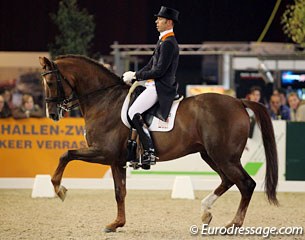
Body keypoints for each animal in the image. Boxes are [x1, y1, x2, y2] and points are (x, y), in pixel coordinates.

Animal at [38, 54, 278, 232]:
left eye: (50, 82)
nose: (52, 114)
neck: (105, 100)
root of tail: (238, 101)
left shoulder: (104, 152)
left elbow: (66, 154)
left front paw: (59, 189)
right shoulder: (116, 160)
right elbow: (119, 191)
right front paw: (116, 224)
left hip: (224, 157)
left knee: (246, 184)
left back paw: (233, 224)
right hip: (210, 155)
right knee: (229, 181)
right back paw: (206, 212)